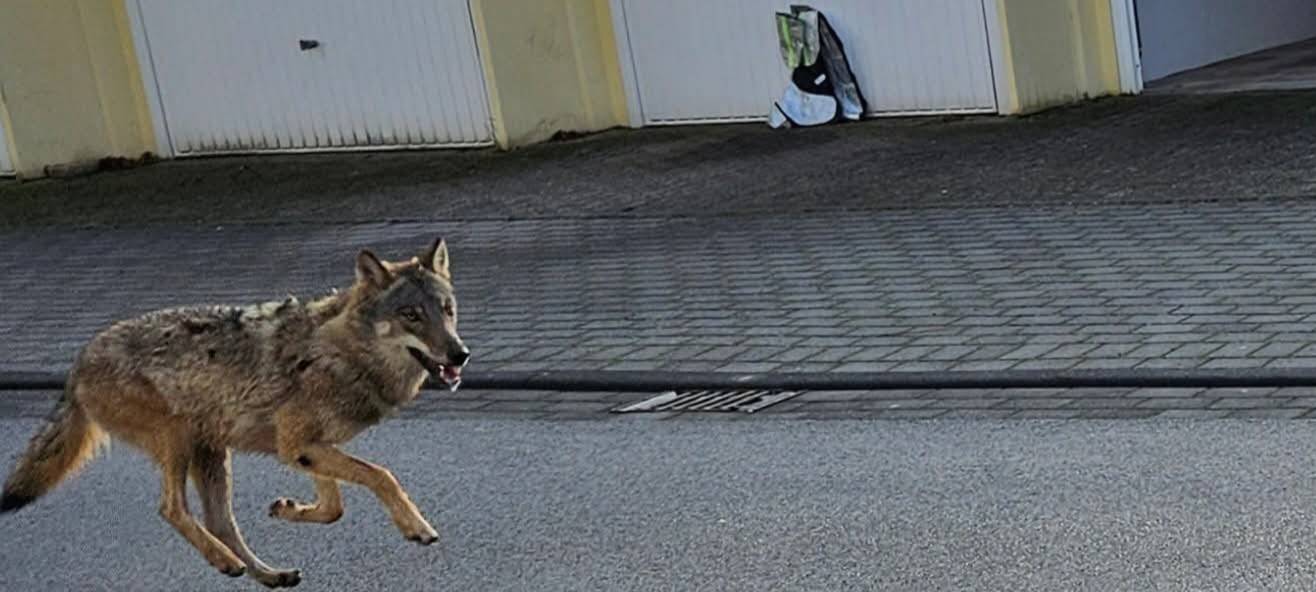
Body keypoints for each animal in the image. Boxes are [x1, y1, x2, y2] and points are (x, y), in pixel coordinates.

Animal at [1, 237, 469, 588]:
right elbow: (381, 476)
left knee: (220, 522)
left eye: (447, 311)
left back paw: (267, 574)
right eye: (411, 315)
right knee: (172, 509)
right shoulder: (300, 444)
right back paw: (224, 562)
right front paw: (416, 527)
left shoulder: (303, 448)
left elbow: (334, 506)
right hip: (179, 441)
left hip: (212, 456)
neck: (344, 353)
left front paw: (289, 509)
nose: (461, 354)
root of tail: (77, 363)